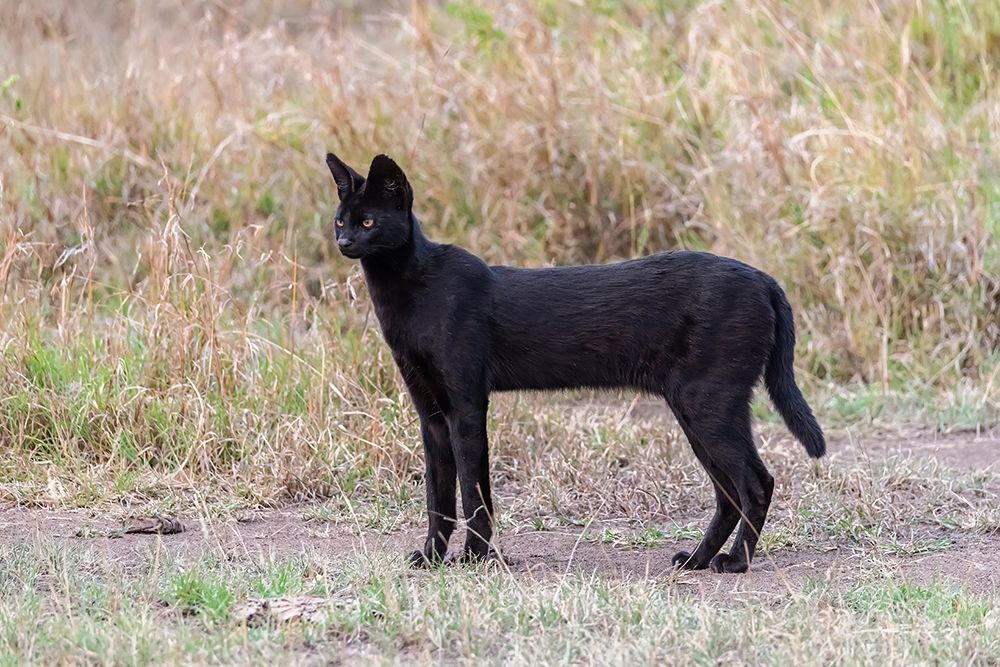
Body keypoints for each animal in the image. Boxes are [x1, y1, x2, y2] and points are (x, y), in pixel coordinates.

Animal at [324, 153, 824, 576]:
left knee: (755, 483)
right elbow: (438, 492)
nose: (344, 241)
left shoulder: (466, 403)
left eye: (368, 220)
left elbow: (473, 488)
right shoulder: (429, 411)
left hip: (710, 403)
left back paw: (735, 563)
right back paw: (697, 560)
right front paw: (431, 557)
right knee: (728, 492)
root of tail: (763, 278)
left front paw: (475, 557)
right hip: (696, 409)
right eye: (339, 219)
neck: (410, 293)